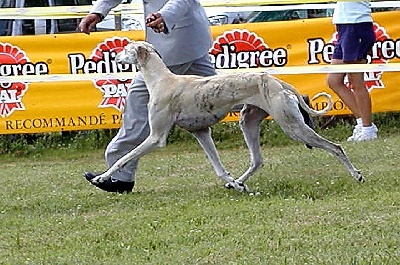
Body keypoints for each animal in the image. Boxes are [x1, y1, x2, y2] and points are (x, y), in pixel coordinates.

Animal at [89, 40, 364, 191]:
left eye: (127, 49)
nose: (114, 55)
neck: (162, 80)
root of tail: (278, 82)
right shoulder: (201, 132)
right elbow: (218, 167)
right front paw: (232, 182)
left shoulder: (156, 137)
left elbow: (123, 158)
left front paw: (102, 177)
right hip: (248, 122)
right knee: (257, 160)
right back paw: (241, 182)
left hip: (292, 126)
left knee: (335, 147)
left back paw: (357, 175)